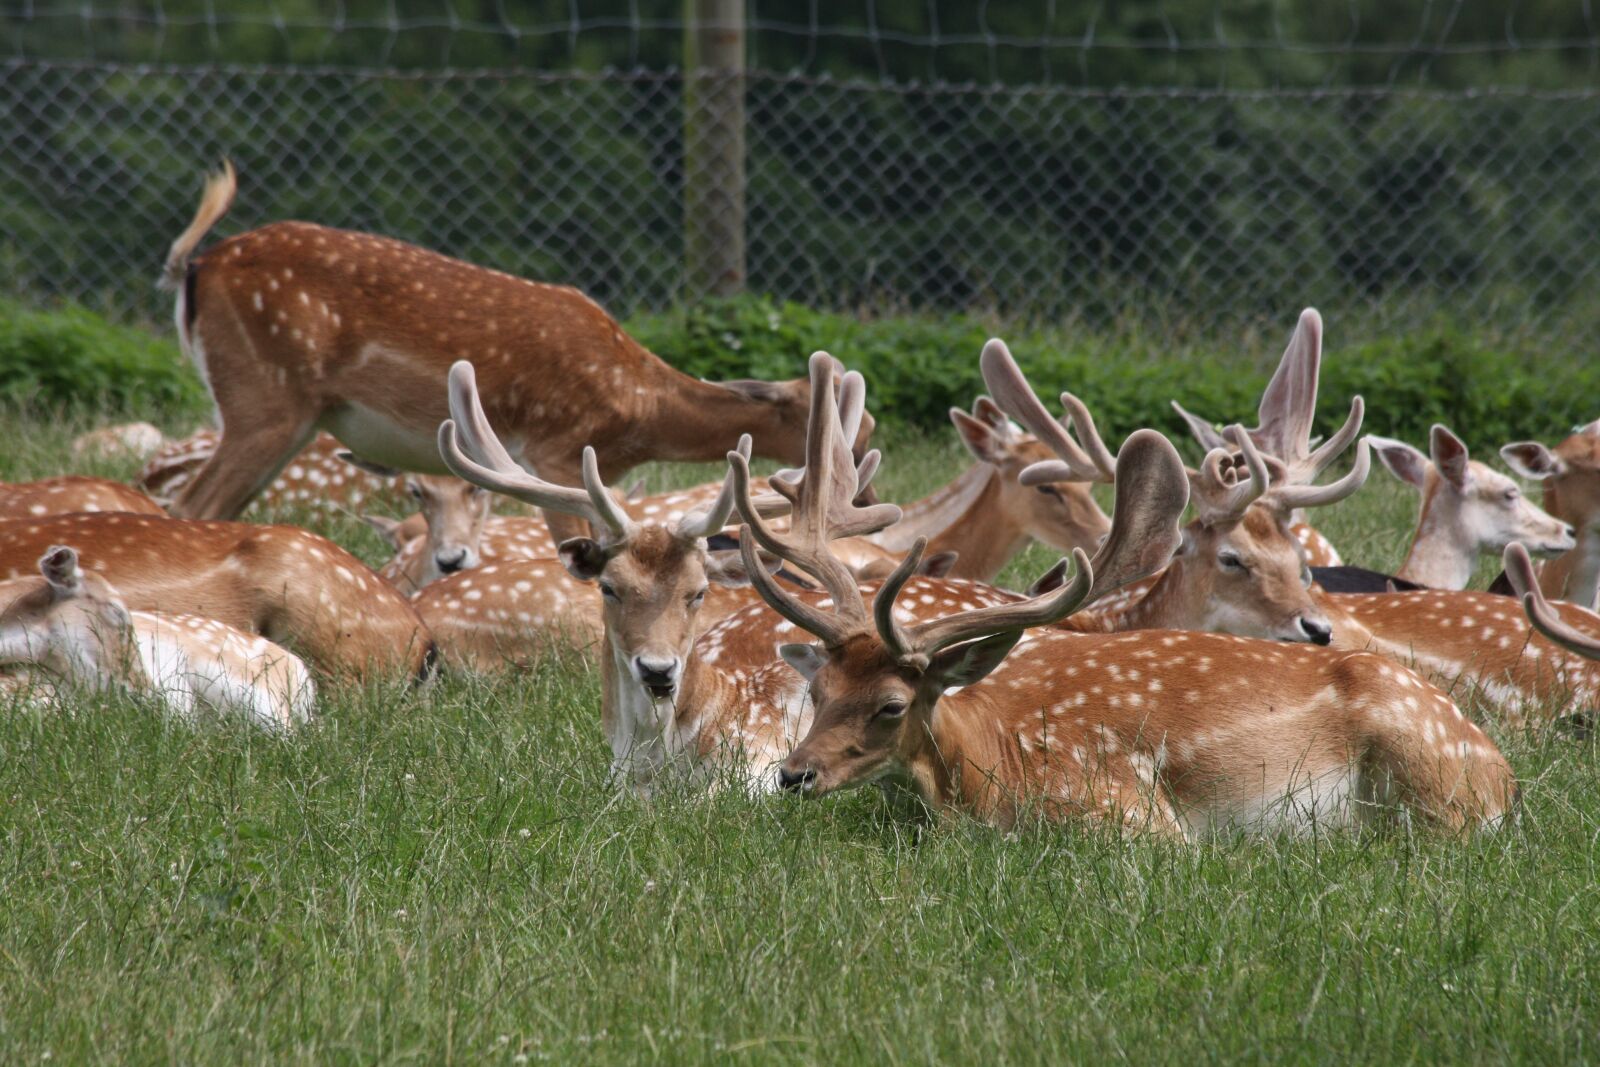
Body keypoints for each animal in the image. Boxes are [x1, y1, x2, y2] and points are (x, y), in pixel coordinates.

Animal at [157, 162, 869, 542]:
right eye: (839, 432)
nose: (860, 500)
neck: (641, 411)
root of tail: (197, 267)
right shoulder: (556, 449)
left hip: (289, 413)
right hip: (263, 392)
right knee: (193, 505)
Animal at [729, 388, 1512, 838]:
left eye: (892, 705)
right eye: (818, 690)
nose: (793, 775)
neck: (981, 772)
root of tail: (1502, 773)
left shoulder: (1128, 811)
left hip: (1433, 781)